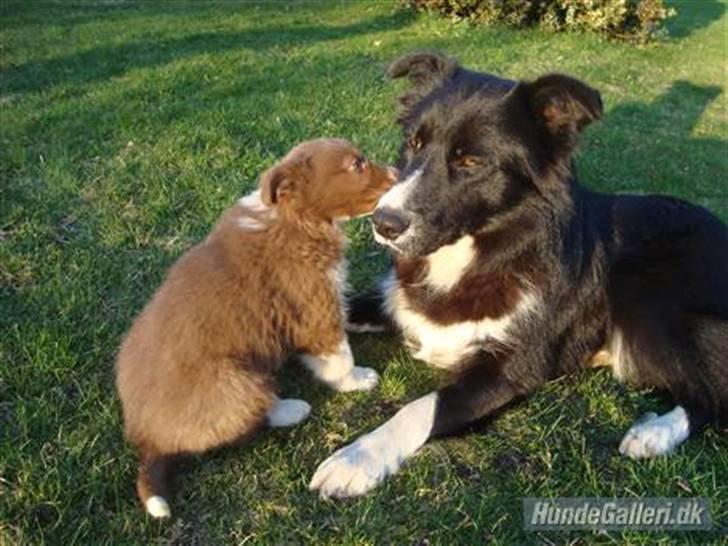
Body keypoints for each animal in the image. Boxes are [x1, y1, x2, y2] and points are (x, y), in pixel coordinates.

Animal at [116, 138, 396, 516]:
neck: (294, 216)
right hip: (234, 381)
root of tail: (147, 441)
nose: (398, 172)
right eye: (357, 165)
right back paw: (291, 409)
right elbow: (338, 355)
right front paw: (358, 379)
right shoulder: (314, 305)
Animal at [308, 52, 728, 498]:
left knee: (713, 397)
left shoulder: (508, 371)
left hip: (648, 300)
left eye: (471, 161)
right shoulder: (395, 299)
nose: (383, 223)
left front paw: (357, 458)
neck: (476, 254)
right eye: (414, 144)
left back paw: (654, 434)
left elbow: (421, 406)